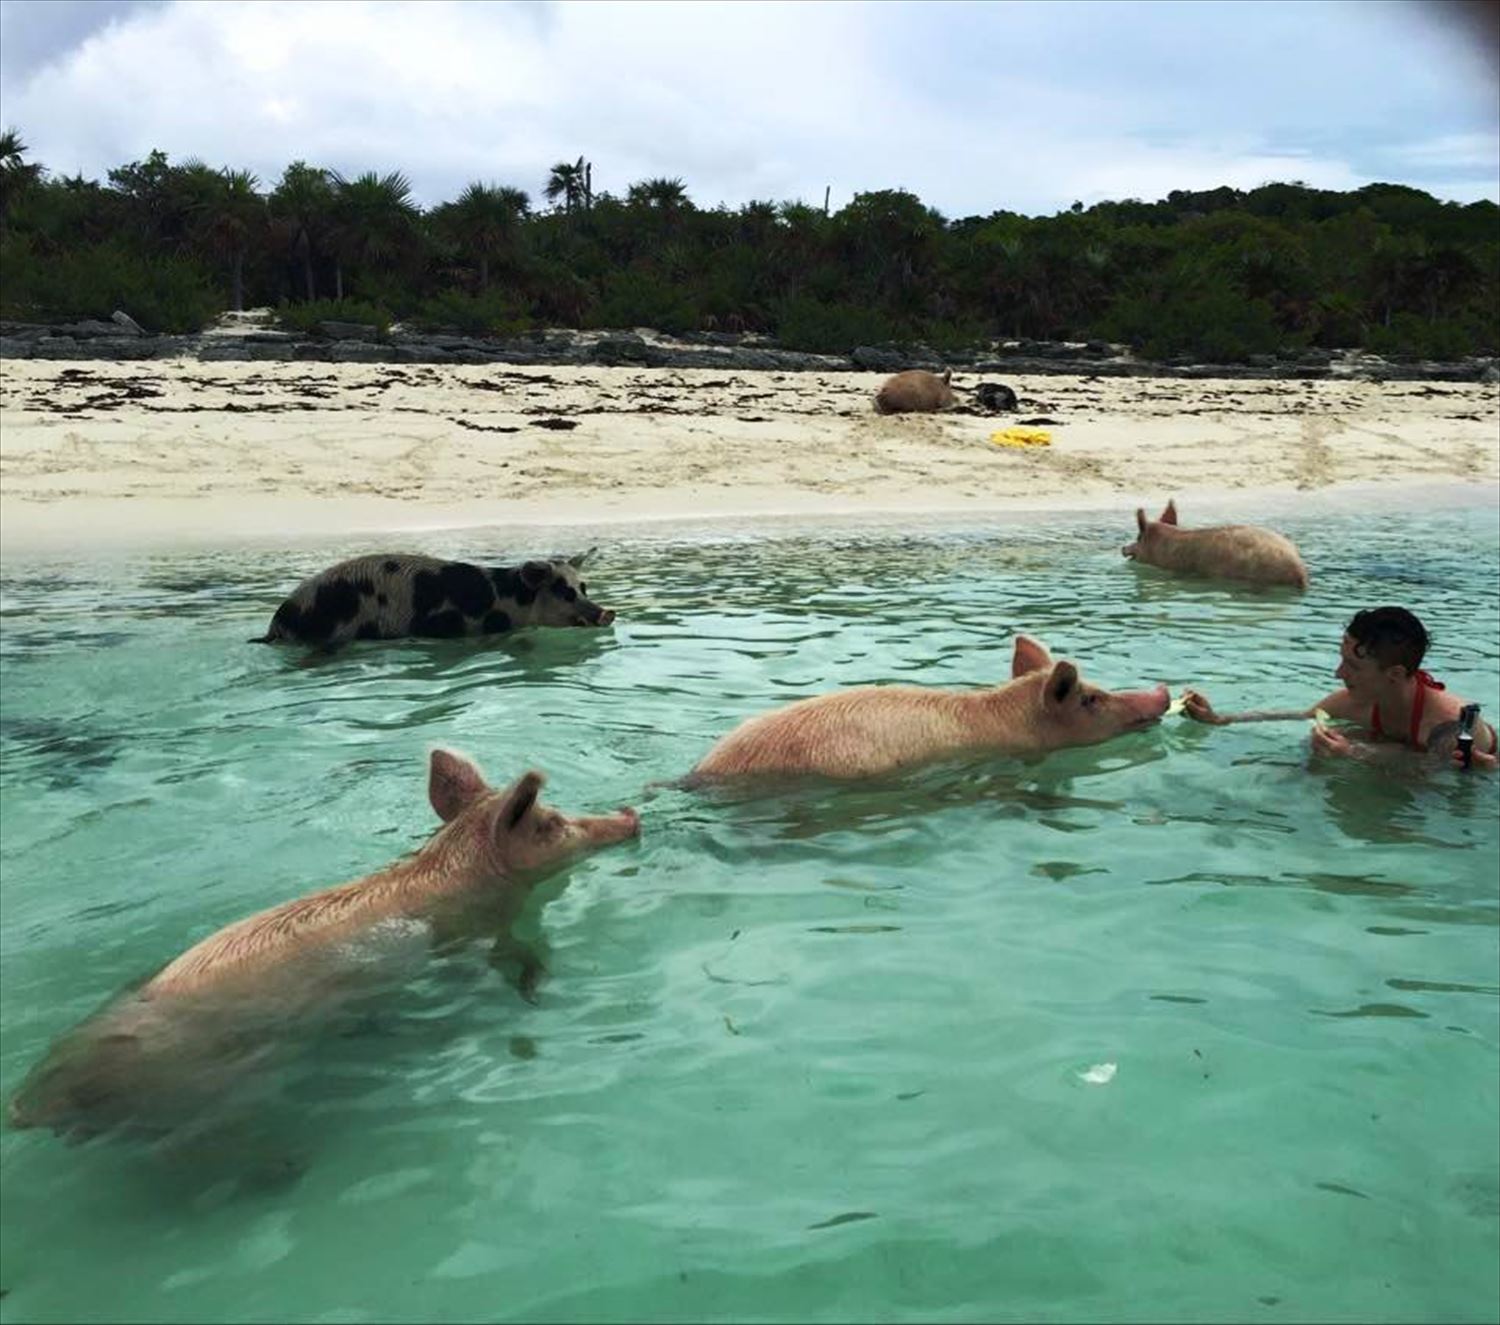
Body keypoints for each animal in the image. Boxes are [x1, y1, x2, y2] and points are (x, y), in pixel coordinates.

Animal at [5, 750, 639, 1146]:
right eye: (552, 824)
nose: (632, 814)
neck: (455, 870)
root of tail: (28, 1105)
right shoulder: (484, 929)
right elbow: (513, 956)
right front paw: (537, 987)